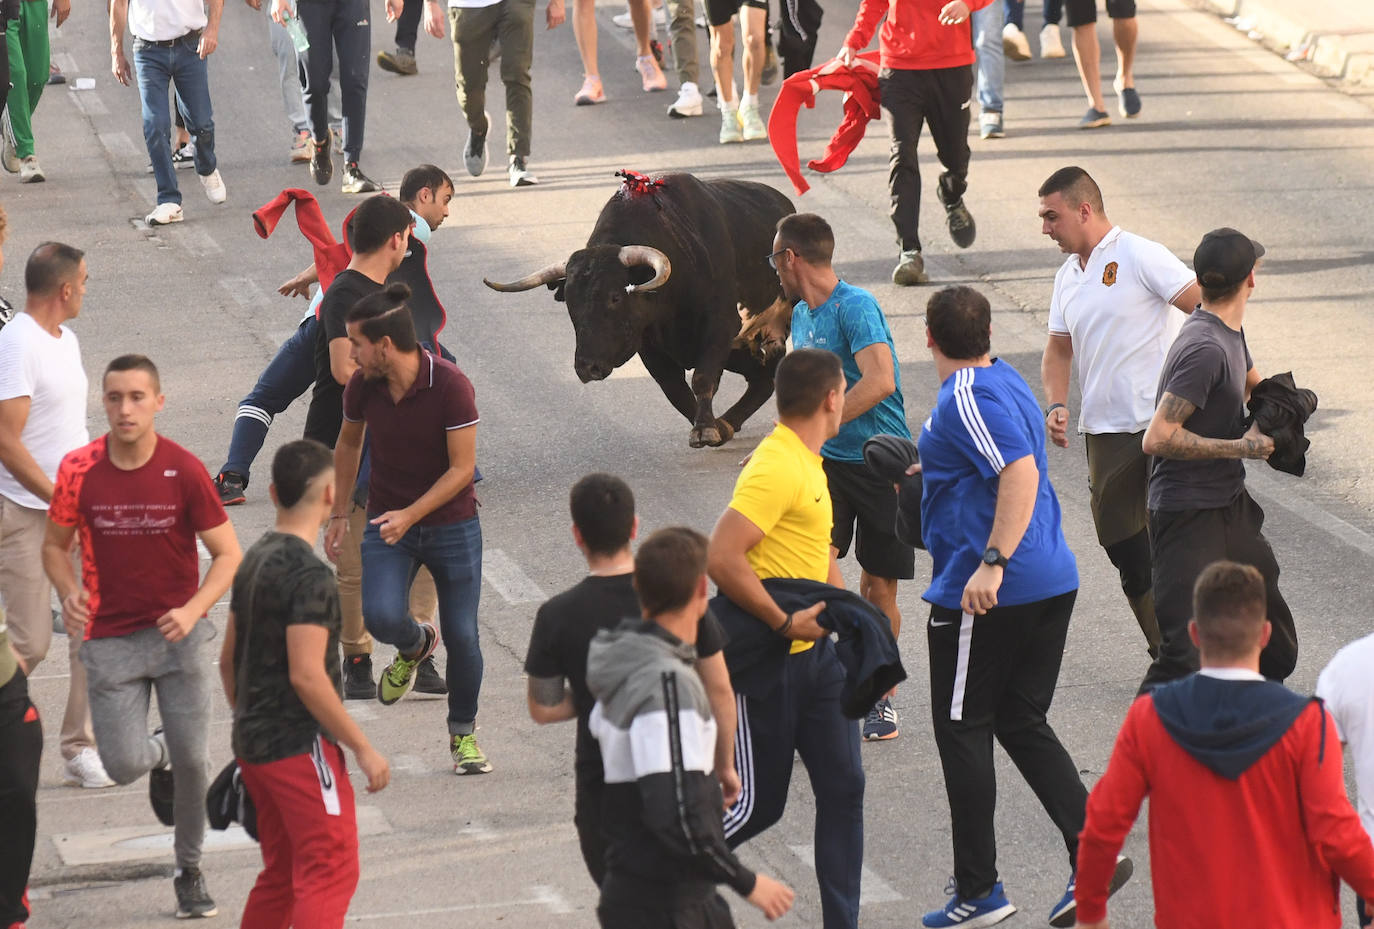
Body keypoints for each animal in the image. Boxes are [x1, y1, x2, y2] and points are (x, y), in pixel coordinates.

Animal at [489, 177, 802, 450]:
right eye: (570, 302)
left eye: (615, 297)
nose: (586, 367)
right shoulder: (650, 347)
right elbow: (675, 390)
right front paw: (712, 427)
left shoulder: (720, 328)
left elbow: (702, 379)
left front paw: (705, 429)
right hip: (740, 347)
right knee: (762, 376)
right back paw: (728, 422)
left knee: (769, 372)